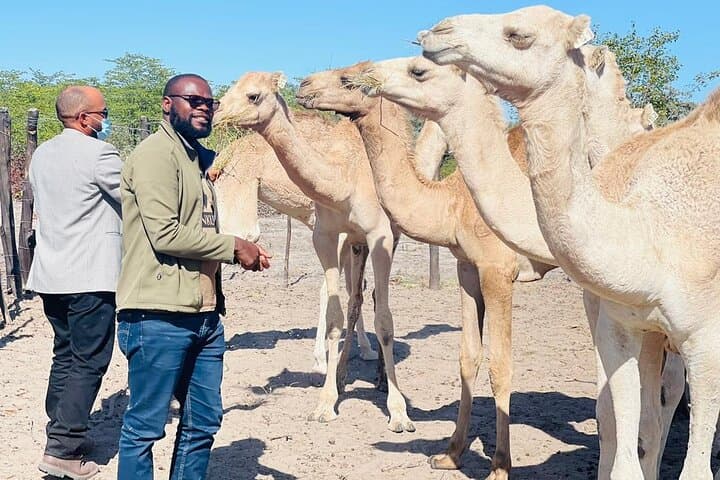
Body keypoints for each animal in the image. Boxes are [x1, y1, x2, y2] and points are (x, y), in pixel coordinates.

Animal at [213, 72, 417, 433]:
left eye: (253, 95)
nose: (217, 109)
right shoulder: (332, 233)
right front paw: (327, 376)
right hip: (238, 196)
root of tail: (222, 157)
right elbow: (338, 299)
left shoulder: (368, 236)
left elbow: (367, 304)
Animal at [295, 61, 559, 479]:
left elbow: (500, 365)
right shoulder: (468, 267)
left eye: (348, 79)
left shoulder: (498, 270)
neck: (453, 200)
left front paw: (500, 467)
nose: (303, 85)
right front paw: (450, 454)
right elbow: (468, 357)